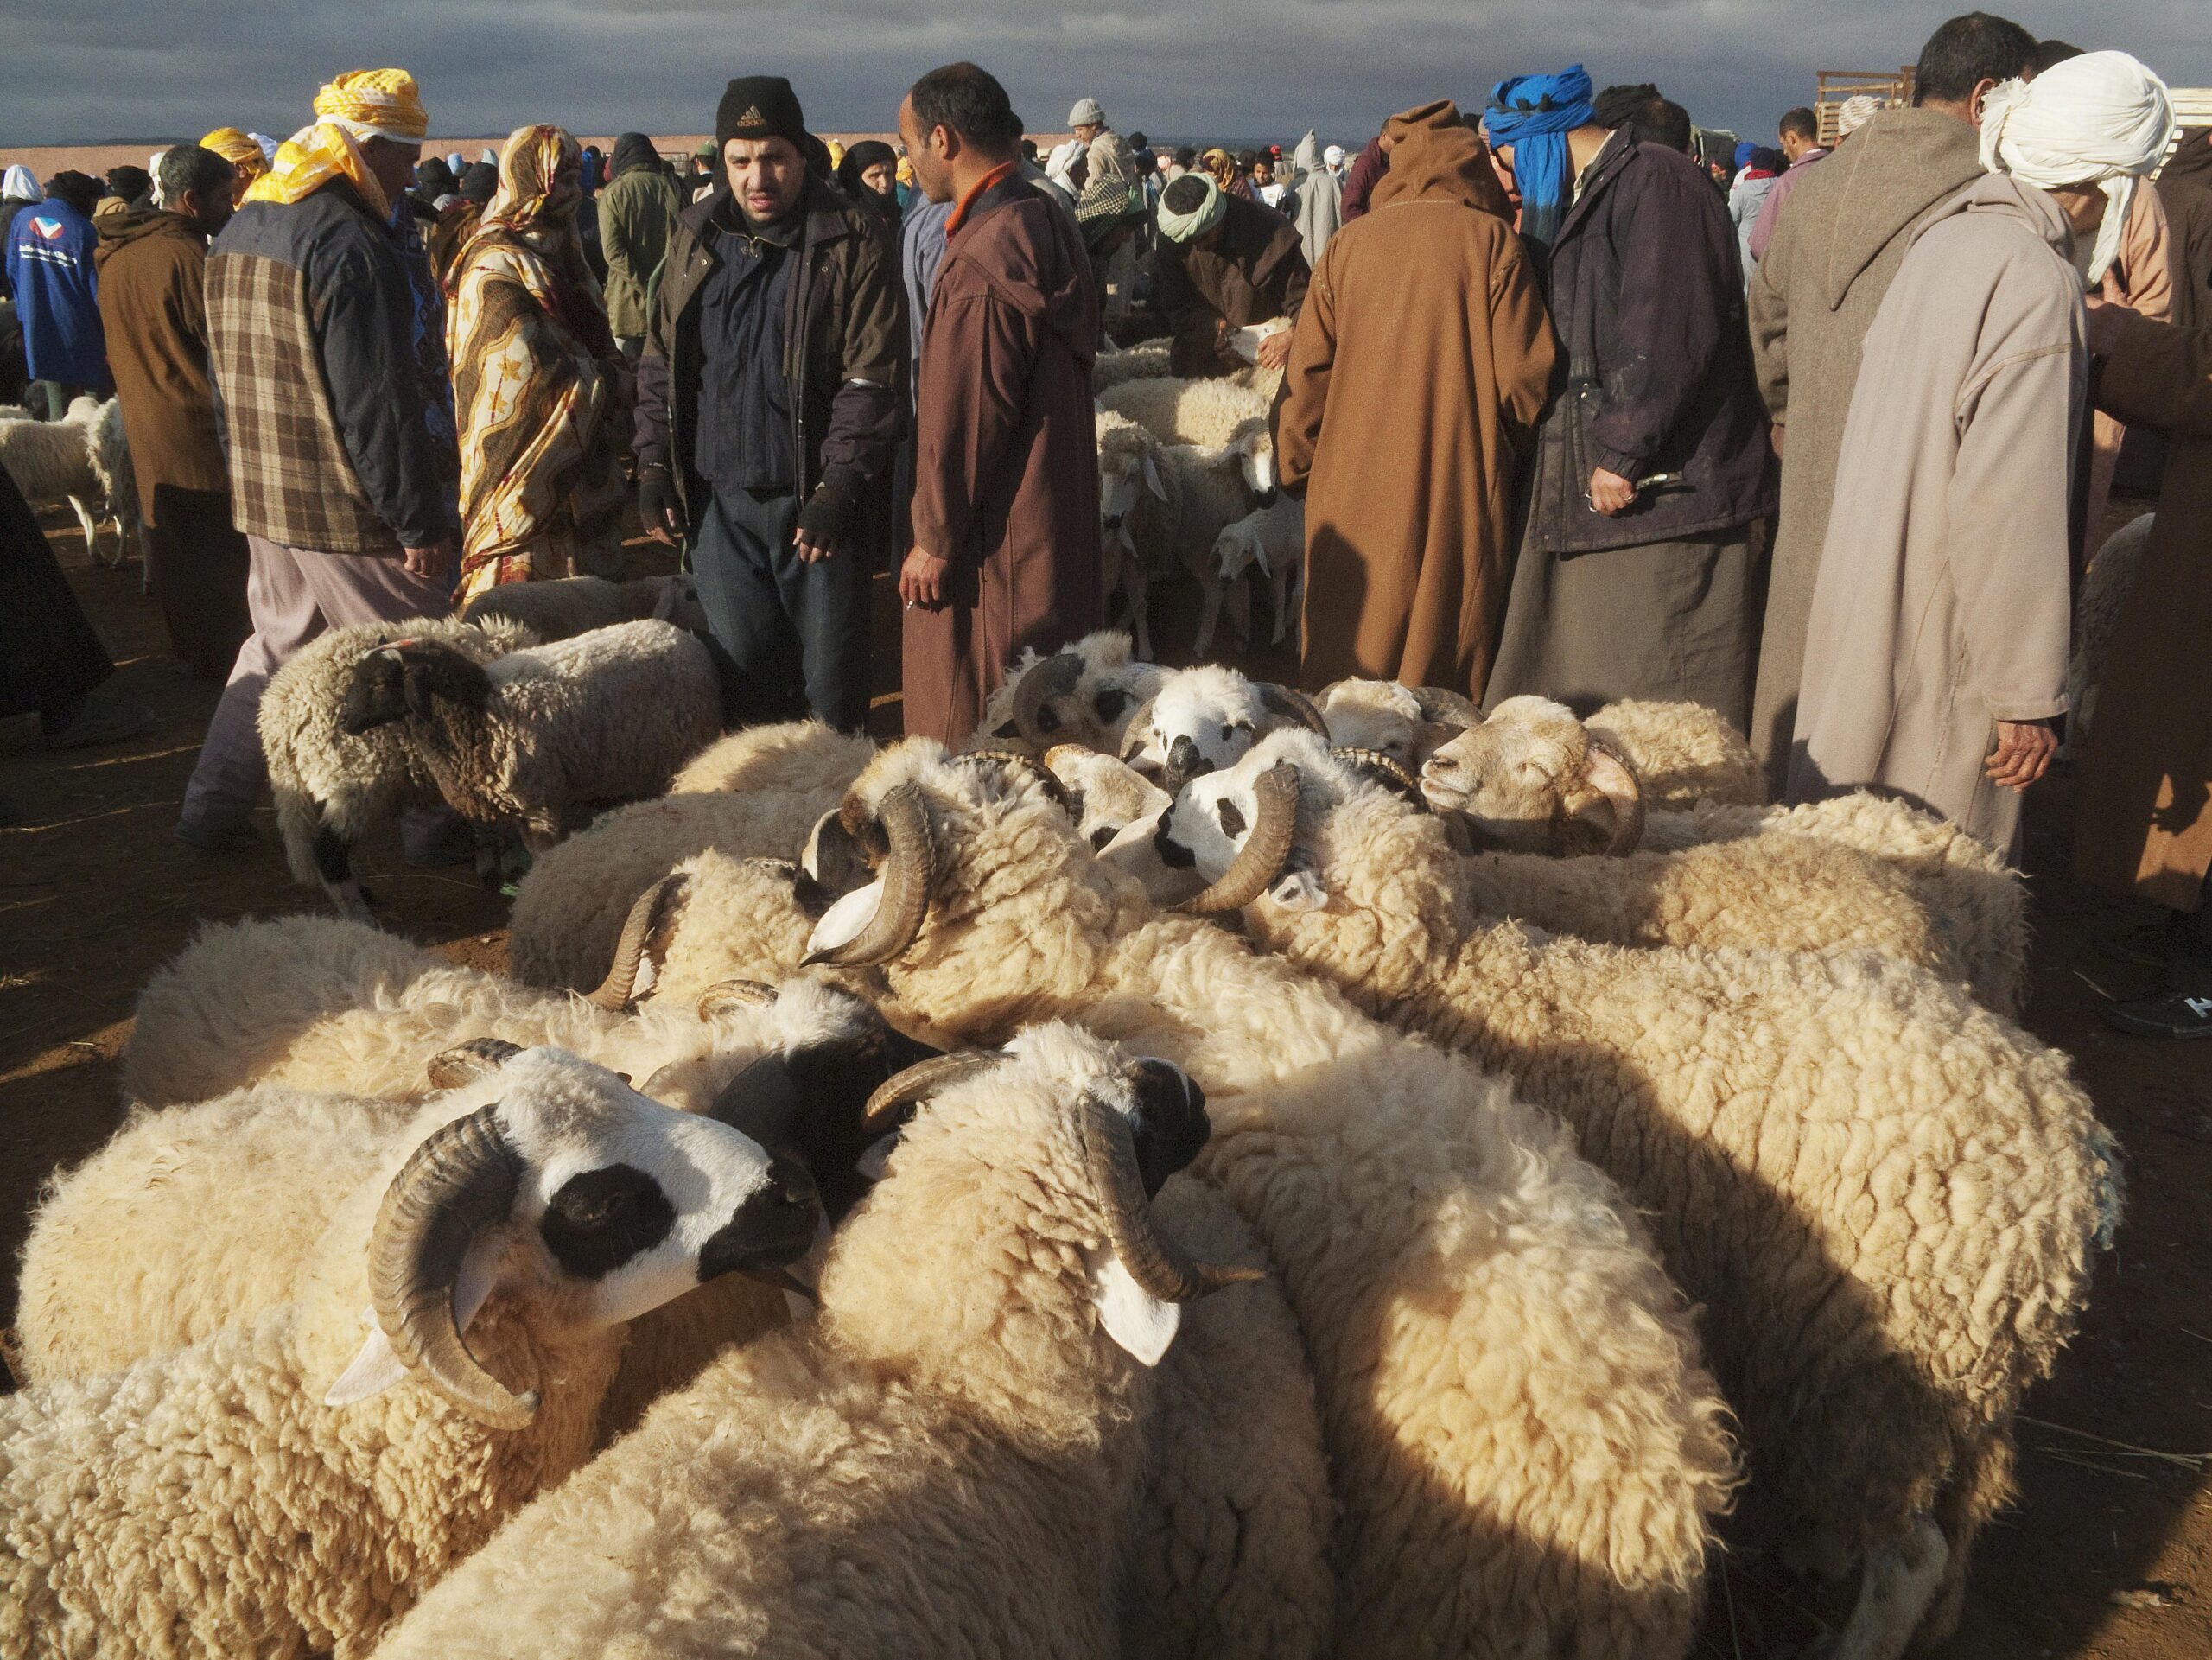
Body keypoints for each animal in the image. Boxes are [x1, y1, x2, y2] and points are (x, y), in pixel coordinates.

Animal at [255, 615, 535, 925]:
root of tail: (280, 711)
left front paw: (493, 866)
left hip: (318, 785)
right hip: (353, 777)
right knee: (328, 850)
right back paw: (360, 917)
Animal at [336, 620, 721, 858]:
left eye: (378, 683)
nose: (343, 720)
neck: (479, 713)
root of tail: (681, 635)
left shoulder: (540, 803)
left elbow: (543, 854)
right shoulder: (519, 808)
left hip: (679, 745)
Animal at [1150, 739, 2114, 1660]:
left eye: (1234, 812)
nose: (1163, 814)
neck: (1459, 974)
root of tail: (2074, 1155)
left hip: (1884, 1376)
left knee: (1911, 1555)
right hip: (1943, 1381)